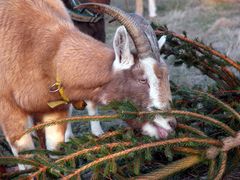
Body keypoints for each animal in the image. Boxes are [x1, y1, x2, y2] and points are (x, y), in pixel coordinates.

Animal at [0, 0, 176, 169]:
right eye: (143, 79)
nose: (172, 123)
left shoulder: (55, 113)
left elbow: (56, 158)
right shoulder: (11, 114)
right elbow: (27, 162)